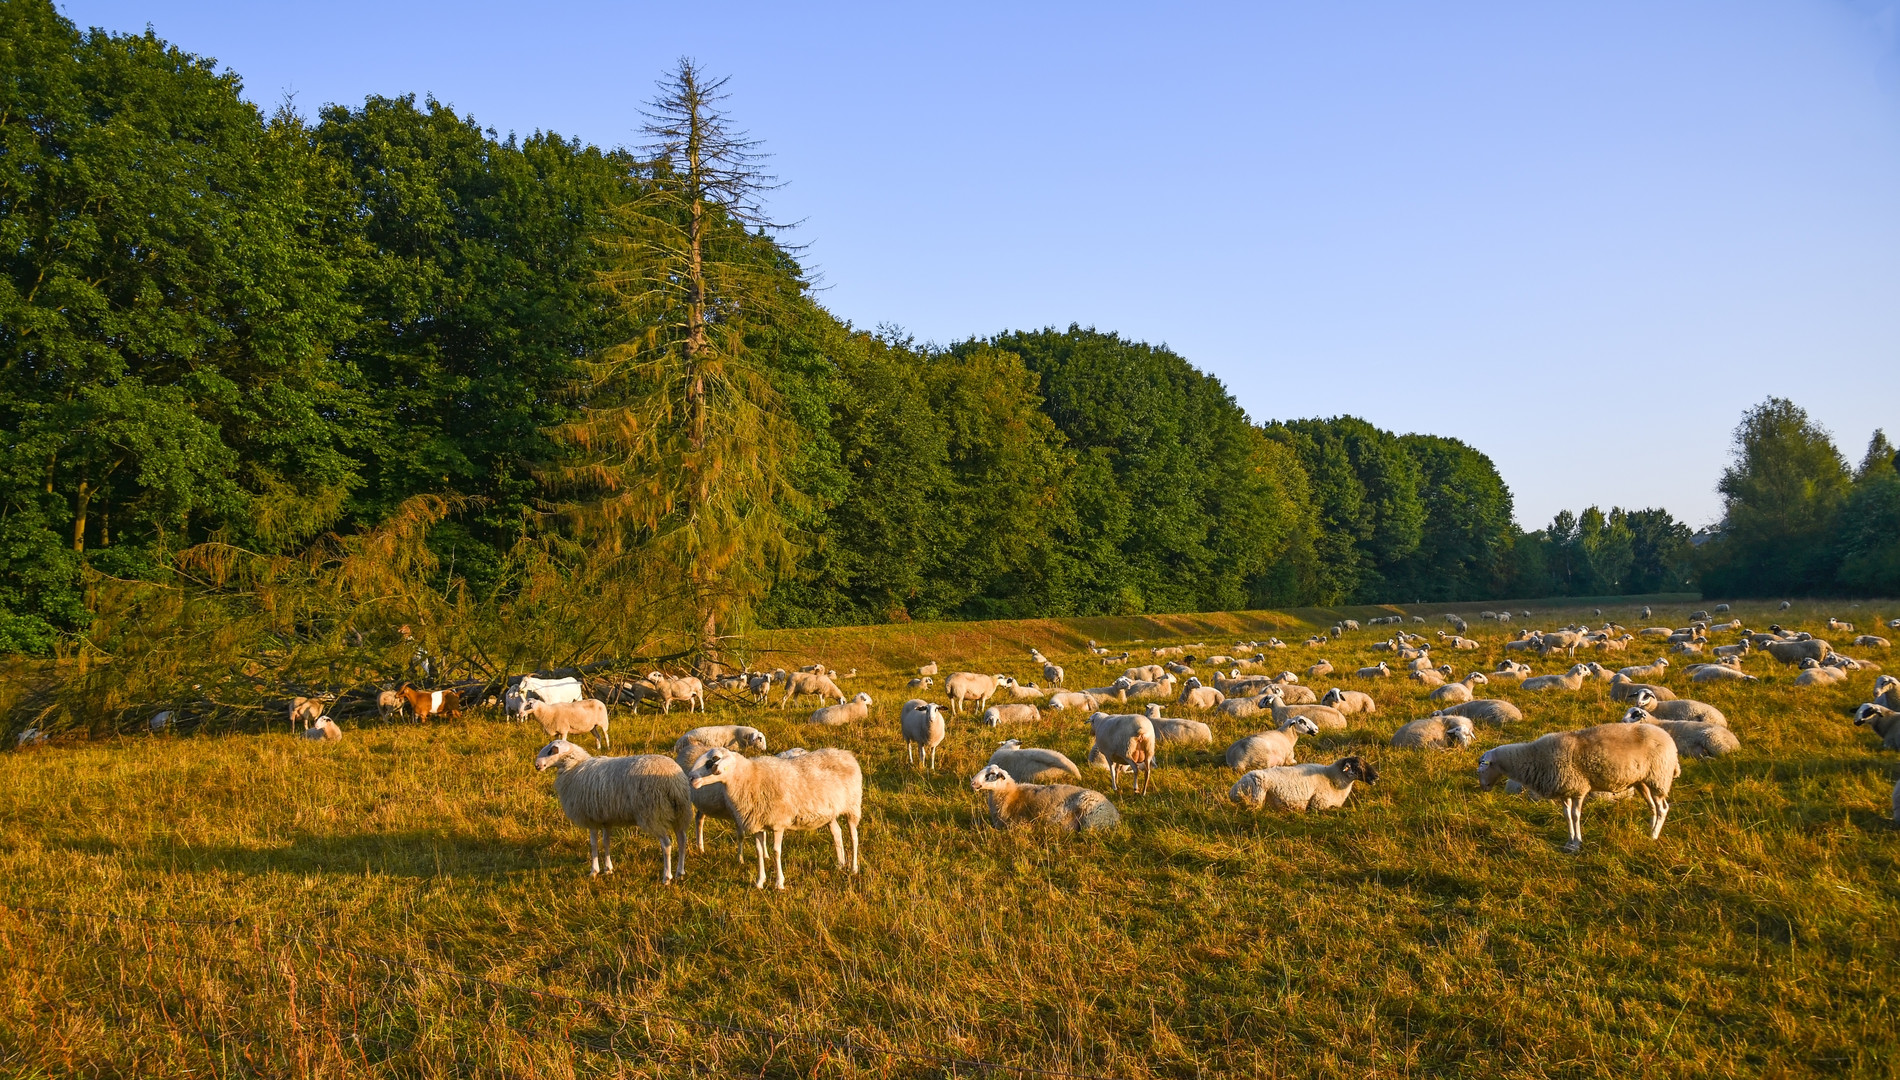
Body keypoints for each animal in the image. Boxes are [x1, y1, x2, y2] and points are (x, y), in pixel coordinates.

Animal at [535, 741, 699, 886]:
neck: (574, 768)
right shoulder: (606, 819)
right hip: (680, 812)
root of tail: (674, 782)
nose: (537, 765)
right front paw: (608, 869)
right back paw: (680, 872)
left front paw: (594, 871)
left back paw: (667, 877)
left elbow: (593, 844)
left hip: (654, 814)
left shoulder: (591, 818)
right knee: (682, 839)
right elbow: (606, 842)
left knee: (667, 845)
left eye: (550, 751)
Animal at [687, 745, 866, 889]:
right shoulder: (757, 824)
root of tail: (845, 754)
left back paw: (853, 868)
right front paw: (759, 882)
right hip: (830, 812)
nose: (691, 778)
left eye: (713, 760)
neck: (750, 778)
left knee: (854, 837)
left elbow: (776, 851)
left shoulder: (778, 823)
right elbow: (759, 852)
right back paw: (840, 864)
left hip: (853, 806)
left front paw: (779, 883)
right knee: (837, 833)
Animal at [1231, 756, 1383, 813]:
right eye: (1357, 766)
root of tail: (1232, 790)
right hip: (1257, 795)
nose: (1376, 776)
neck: (1333, 778)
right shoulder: (1319, 804)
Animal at [1466, 726, 1679, 851]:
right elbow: (1567, 816)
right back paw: (1650, 830)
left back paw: (1653, 836)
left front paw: (1577, 843)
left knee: (1663, 808)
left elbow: (1576, 816)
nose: (1484, 787)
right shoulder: (1564, 790)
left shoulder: (1577, 788)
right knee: (1653, 807)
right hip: (1643, 781)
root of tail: (1670, 740)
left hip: (1658, 777)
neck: (1535, 756)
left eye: (1482, 767)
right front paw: (1569, 841)